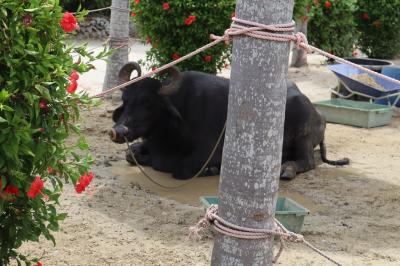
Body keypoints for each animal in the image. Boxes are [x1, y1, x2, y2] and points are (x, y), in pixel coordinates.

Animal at [108, 61, 346, 180]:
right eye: (125, 99)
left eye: (148, 103)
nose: (118, 130)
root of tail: (319, 115)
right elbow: (130, 153)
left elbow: (180, 167)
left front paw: (210, 170)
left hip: (303, 138)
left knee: (307, 161)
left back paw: (286, 169)